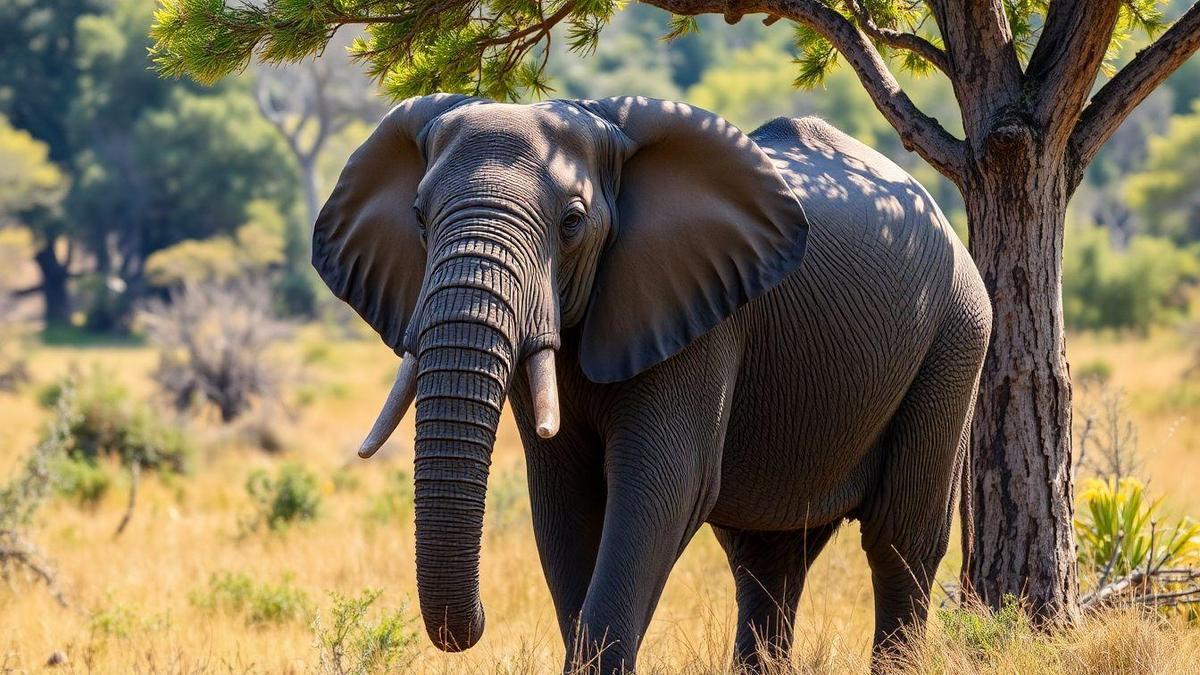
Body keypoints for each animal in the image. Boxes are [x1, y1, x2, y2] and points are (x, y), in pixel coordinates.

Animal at [312, 94, 992, 673]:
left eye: (572, 222)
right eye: (419, 218)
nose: (476, 624)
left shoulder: (705, 317)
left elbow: (663, 487)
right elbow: (562, 498)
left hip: (956, 337)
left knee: (900, 540)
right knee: (768, 559)